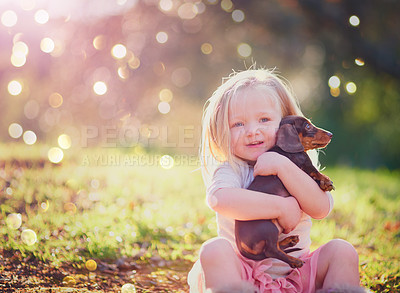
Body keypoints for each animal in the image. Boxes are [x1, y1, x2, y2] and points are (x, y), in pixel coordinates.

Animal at [234, 114, 334, 266]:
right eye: (307, 126)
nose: (330, 134)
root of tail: (240, 245)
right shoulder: (305, 164)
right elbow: (315, 172)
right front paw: (326, 181)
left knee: (275, 246)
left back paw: (289, 240)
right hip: (268, 227)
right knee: (271, 250)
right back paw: (294, 261)